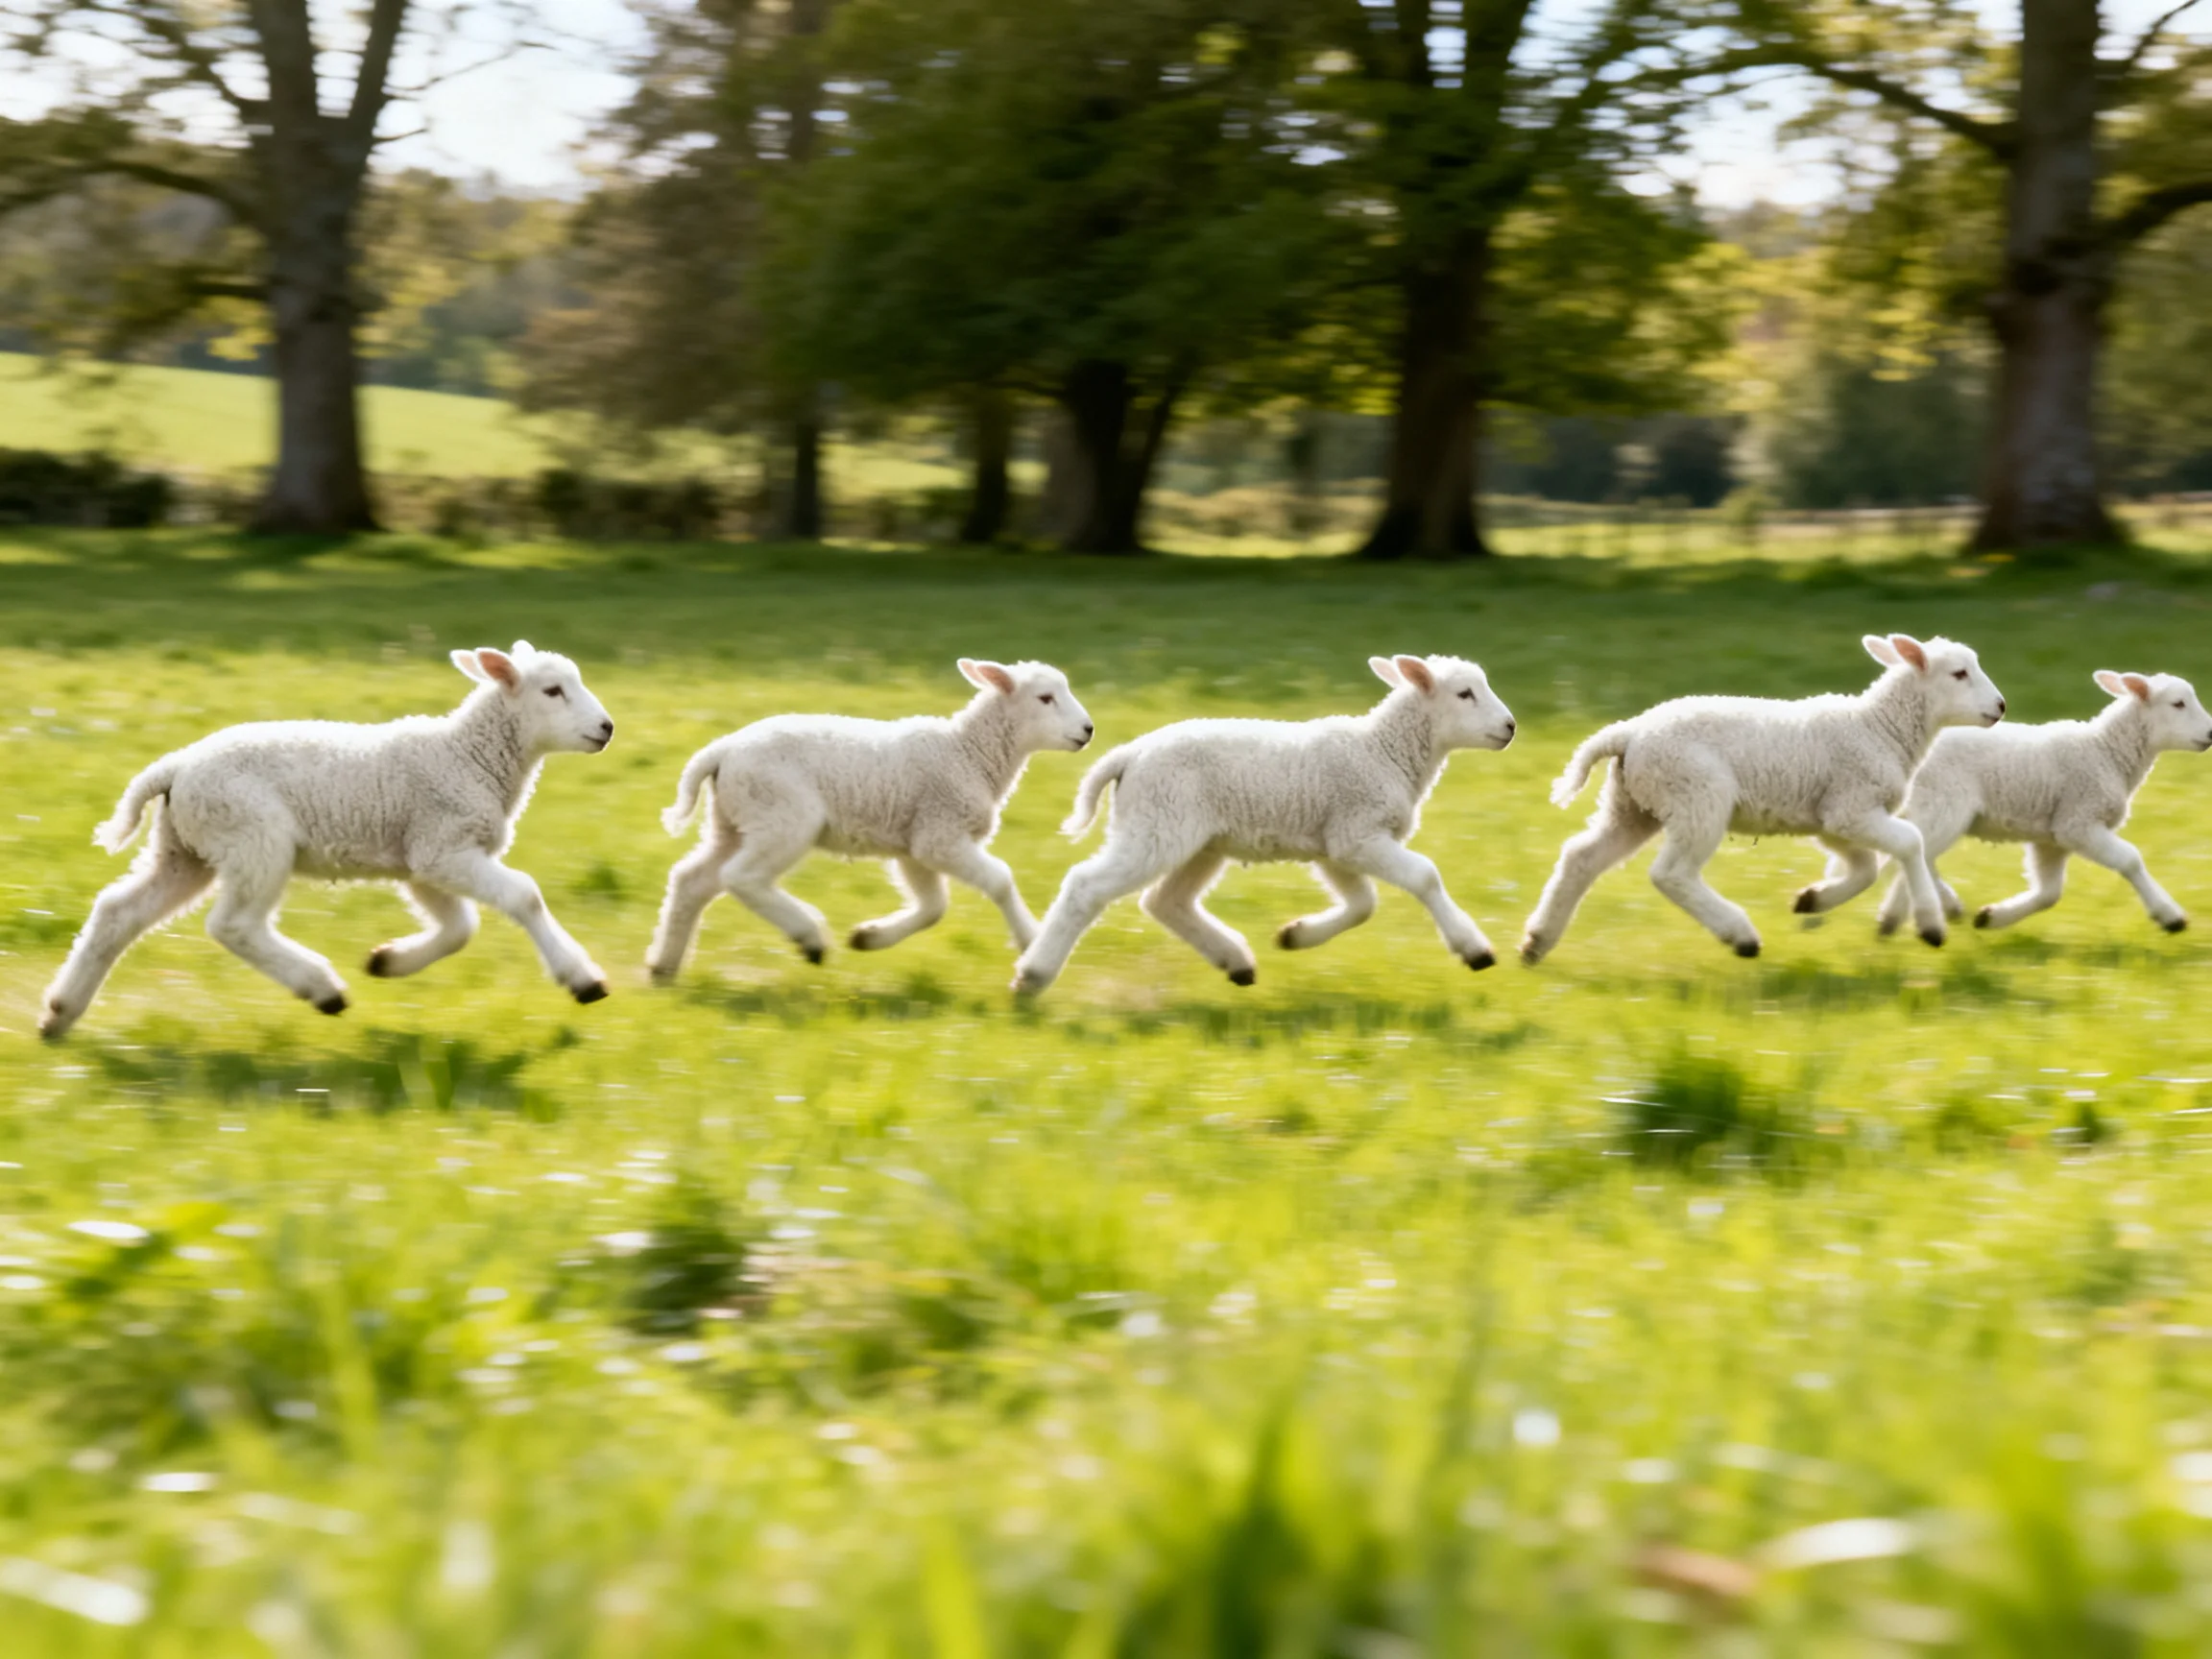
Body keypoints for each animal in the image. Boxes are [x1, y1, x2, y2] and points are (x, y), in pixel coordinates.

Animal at [39, 642, 616, 1040]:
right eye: (553, 691)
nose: (607, 728)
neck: (467, 755)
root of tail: (174, 767)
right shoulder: (443, 844)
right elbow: (524, 896)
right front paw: (582, 979)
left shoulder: (423, 858)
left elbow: (458, 929)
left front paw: (388, 961)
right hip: (254, 837)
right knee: (233, 925)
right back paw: (321, 988)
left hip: (185, 848)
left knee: (118, 913)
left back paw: (60, 1014)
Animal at [645, 659, 1093, 979]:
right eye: (1046, 698)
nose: (1088, 730)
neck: (968, 753)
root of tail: (720, 751)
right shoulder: (941, 833)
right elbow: (999, 880)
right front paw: (1031, 939)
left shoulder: (915, 846)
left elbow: (934, 907)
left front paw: (869, 938)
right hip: (782, 815)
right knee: (741, 877)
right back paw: (809, 937)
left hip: (733, 822)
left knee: (692, 881)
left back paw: (663, 966)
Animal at [1008, 654, 1516, 997]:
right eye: (1465, 694)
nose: (1510, 726)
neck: (1383, 750)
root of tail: (1129, 755)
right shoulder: (1358, 831)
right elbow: (1425, 877)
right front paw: (1474, 950)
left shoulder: (1337, 842)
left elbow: (1362, 905)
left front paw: (1296, 935)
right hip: (1158, 825)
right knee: (1086, 886)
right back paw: (1033, 976)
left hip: (1198, 840)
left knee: (1165, 900)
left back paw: (1235, 962)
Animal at [1521, 633, 2006, 964]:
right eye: (1959, 674)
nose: (2001, 707)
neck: (1878, 728)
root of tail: (1628, 733)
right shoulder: (1852, 805)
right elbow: (1910, 843)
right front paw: (1930, 925)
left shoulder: (1833, 818)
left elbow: (1866, 869)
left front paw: (1812, 900)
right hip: (1697, 794)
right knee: (1670, 874)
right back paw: (1739, 935)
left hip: (1634, 803)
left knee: (1581, 857)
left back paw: (1537, 942)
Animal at [1871, 670, 2212, 937]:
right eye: (2178, 704)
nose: (2211, 733)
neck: (2106, 752)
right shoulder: (2078, 821)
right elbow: (2130, 860)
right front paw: (2170, 916)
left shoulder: (2053, 838)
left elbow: (2049, 894)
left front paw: (1992, 917)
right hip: (1944, 803)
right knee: (1913, 852)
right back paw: (1901, 915)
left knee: (1914, 853)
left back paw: (1932, 908)